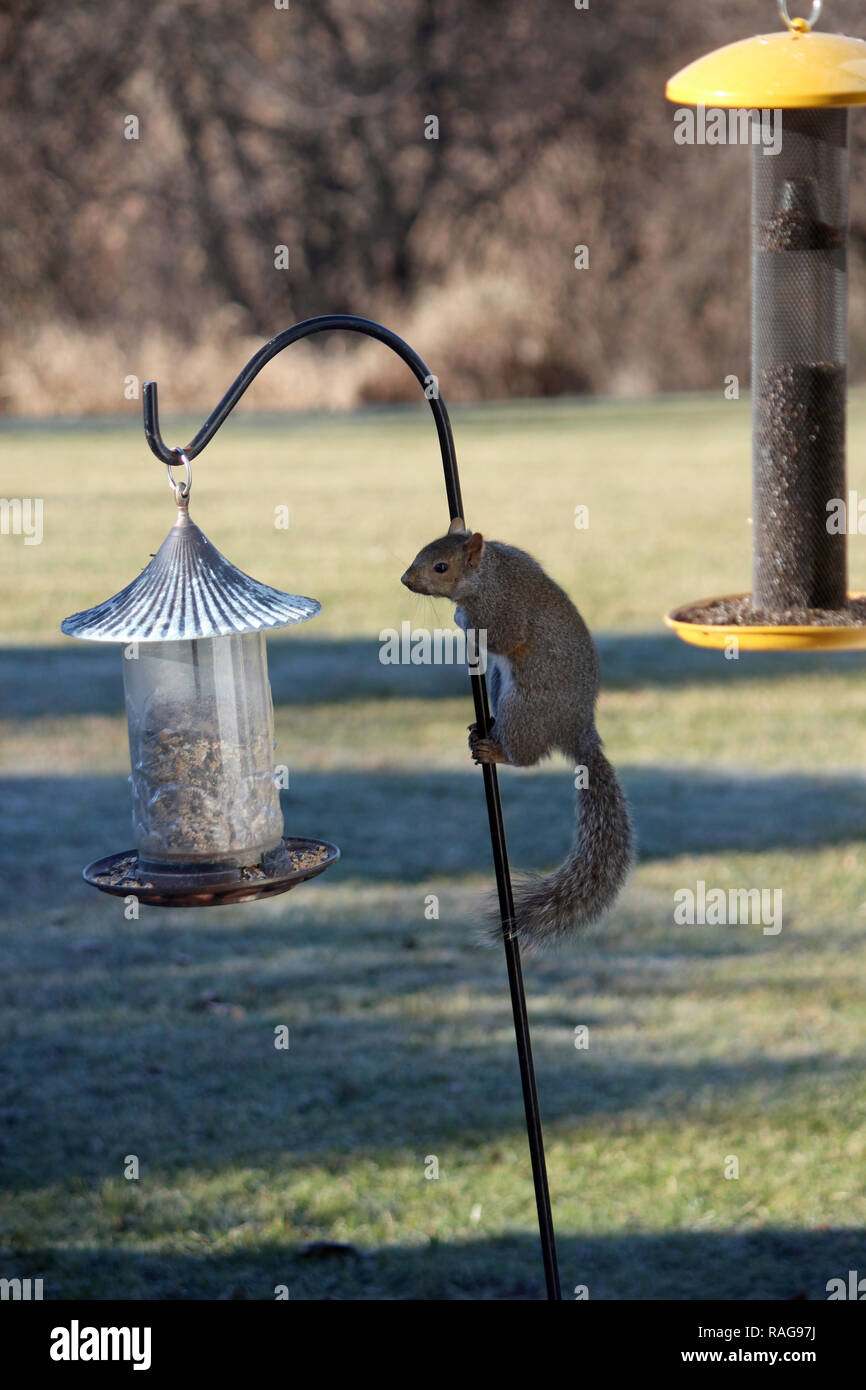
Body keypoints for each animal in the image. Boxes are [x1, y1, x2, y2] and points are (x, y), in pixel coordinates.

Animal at [403, 517, 633, 950]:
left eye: (441, 567)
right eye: (420, 550)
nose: (406, 579)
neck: (490, 574)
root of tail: (579, 732)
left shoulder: (506, 613)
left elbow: (501, 636)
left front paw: (461, 620)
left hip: (523, 707)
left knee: (526, 757)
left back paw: (497, 752)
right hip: (498, 683)